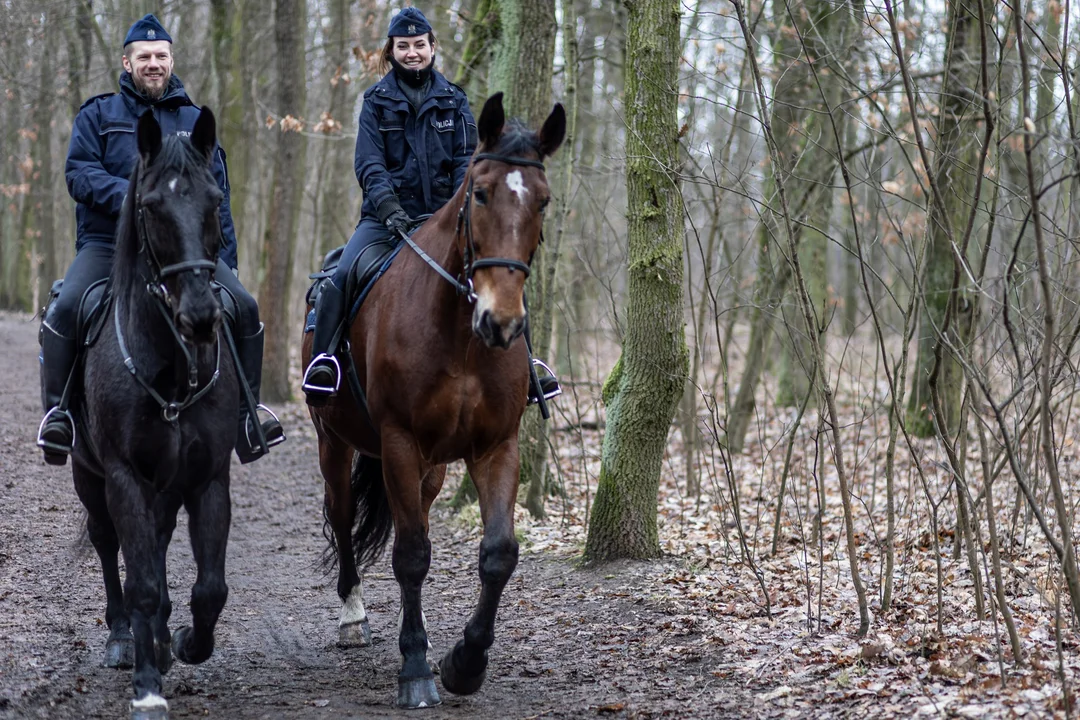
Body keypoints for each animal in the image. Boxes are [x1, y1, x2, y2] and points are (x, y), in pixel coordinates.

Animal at [68, 108, 237, 720]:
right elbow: (138, 579)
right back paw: (124, 638)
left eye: (214, 199)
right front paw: (146, 684)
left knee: (160, 546)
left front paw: (185, 642)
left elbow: (209, 587)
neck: (171, 366)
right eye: (150, 206)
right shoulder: (124, 477)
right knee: (107, 544)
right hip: (89, 476)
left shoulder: (208, 477)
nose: (201, 316)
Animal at [300, 91, 561, 708]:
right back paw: (353, 618)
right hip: (334, 442)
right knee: (344, 517)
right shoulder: (398, 441)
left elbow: (498, 553)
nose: (501, 321)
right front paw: (416, 669)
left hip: (432, 468)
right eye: (480, 192)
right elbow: (412, 556)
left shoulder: (496, 446)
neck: (460, 335)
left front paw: (465, 663)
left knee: (411, 516)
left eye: (543, 201)